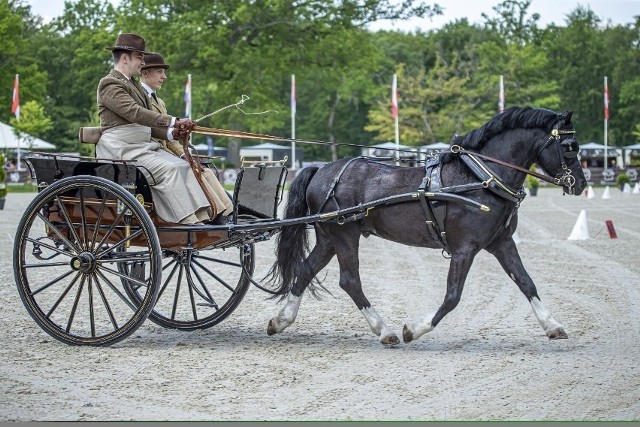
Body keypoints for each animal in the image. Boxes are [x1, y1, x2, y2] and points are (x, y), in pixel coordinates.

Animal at [264, 105, 584, 346]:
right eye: (570, 147)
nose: (580, 183)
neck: (480, 177)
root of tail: (323, 170)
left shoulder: (501, 243)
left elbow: (526, 282)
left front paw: (552, 325)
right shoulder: (465, 248)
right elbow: (453, 296)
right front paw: (414, 330)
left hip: (329, 238)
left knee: (305, 270)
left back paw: (281, 320)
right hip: (344, 236)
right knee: (349, 281)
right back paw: (385, 330)